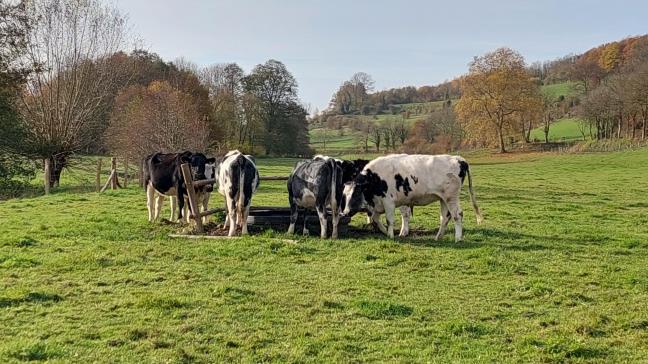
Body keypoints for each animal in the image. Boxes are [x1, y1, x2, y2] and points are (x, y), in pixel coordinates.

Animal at [340, 154, 480, 242]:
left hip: (451, 197)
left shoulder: (389, 201)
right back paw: (438, 237)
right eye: (345, 196)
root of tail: (458, 158)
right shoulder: (377, 204)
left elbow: (389, 220)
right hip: (443, 199)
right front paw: (385, 232)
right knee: (445, 217)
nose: (345, 213)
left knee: (457, 215)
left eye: (355, 194)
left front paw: (390, 235)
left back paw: (458, 238)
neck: (374, 178)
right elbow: (375, 219)